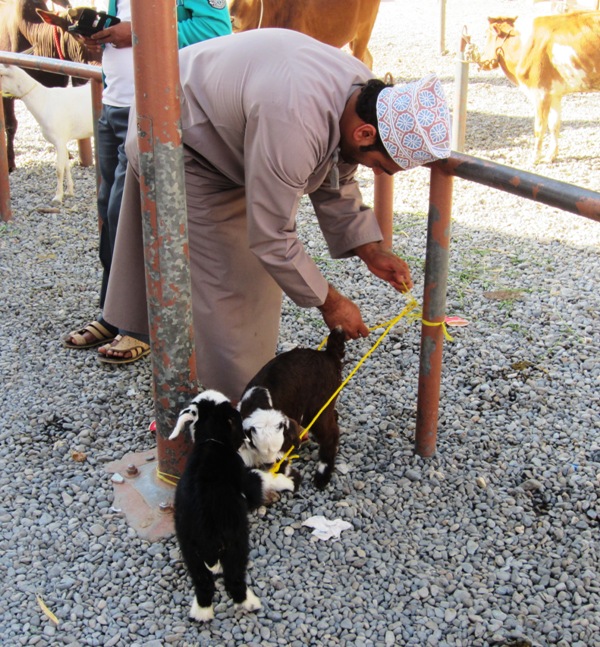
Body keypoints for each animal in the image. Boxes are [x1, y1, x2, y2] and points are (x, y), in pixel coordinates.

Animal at [0, 63, 92, 204]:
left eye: (1, 75)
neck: (43, 100)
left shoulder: (59, 139)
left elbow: (59, 170)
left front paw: (57, 197)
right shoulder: (62, 141)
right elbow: (66, 166)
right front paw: (69, 191)